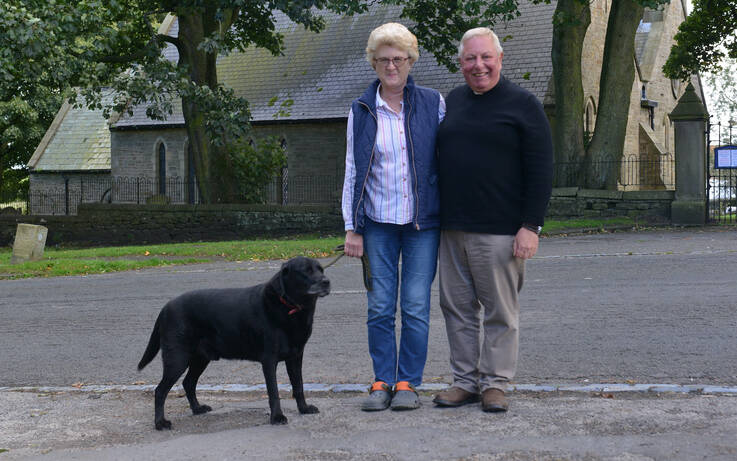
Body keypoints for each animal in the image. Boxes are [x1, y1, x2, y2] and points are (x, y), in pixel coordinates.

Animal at [137, 255, 330, 428]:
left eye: (321, 269)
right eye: (305, 271)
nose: (327, 281)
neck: (290, 307)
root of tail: (165, 307)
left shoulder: (296, 356)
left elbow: (299, 386)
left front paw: (304, 409)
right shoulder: (269, 360)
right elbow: (274, 392)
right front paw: (277, 417)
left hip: (200, 359)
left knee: (188, 383)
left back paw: (197, 409)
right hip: (177, 359)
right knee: (160, 391)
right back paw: (160, 423)